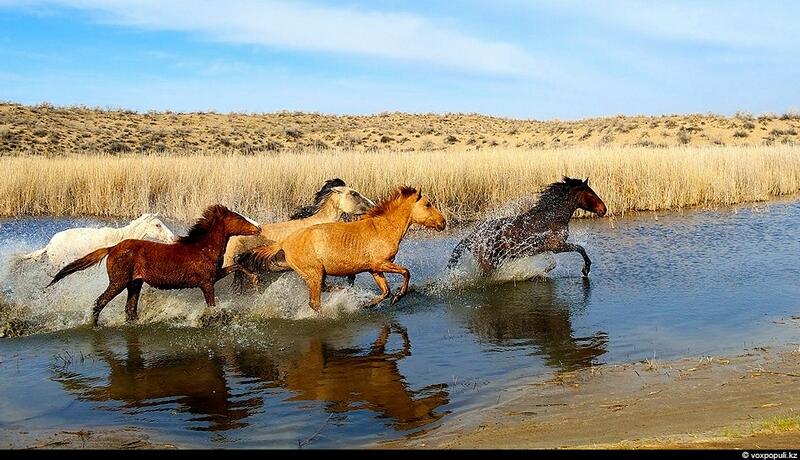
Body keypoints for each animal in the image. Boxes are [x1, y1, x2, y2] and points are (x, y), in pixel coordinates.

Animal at [47, 205, 260, 328]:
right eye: (239, 218)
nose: (258, 227)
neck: (202, 248)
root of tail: (112, 248)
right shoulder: (207, 283)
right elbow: (212, 307)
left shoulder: (215, 275)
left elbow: (237, 266)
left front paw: (255, 279)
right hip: (118, 282)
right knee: (99, 302)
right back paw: (93, 325)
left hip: (135, 284)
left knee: (130, 309)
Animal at [241, 187, 446, 312]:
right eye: (427, 204)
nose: (443, 222)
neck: (383, 228)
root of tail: (284, 243)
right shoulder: (381, 263)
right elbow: (406, 272)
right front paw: (398, 297)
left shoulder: (375, 269)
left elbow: (385, 291)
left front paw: (368, 304)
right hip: (314, 275)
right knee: (315, 303)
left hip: (314, 275)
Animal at [450, 176, 608, 276]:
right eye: (591, 194)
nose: (604, 209)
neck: (552, 217)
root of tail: (470, 238)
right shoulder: (557, 246)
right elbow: (580, 249)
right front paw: (585, 270)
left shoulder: (544, 249)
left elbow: (552, 264)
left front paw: (540, 273)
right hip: (487, 262)